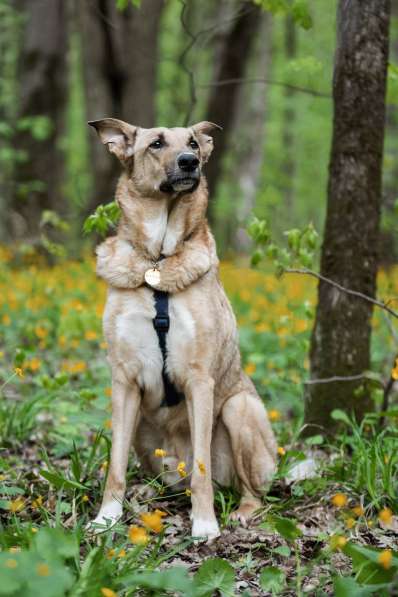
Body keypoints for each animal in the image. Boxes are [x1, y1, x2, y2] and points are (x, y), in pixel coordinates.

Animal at [88, 116, 276, 540]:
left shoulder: (199, 379)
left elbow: (203, 470)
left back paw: (241, 511)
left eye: (192, 143)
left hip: (239, 409)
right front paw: (106, 517)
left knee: (249, 490)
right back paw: (150, 494)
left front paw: (204, 524)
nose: (190, 162)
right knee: (163, 479)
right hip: (143, 426)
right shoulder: (124, 379)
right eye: (156, 144)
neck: (157, 260)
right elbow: (115, 465)